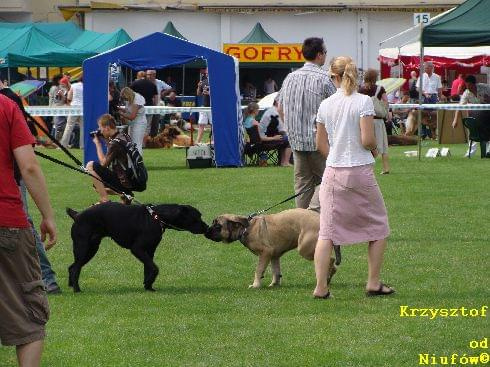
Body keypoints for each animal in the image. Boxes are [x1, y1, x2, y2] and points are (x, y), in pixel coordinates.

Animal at [67, 201, 209, 294]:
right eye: (196, 217)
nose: (207, 227)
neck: (157, 217)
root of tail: (77, 215)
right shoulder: (137, 249)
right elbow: (154, 268)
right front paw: (149, 282)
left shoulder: (150, 251)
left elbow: (148, 268)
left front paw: (148, 286)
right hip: (83, 248)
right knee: (75, 269)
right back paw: (77, 290)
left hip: (91, 249)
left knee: (72, 267)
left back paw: (71, 285)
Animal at [205, 208, 338, 288]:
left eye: (218, 226)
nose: (206, 231)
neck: (245, 229)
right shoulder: (274, 255)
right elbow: (275, 270)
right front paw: (274, 284)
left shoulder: (265, 253)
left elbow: (259, 270)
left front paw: (256, 285)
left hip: (305, 248)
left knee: (331, 260)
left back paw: (328, 275)